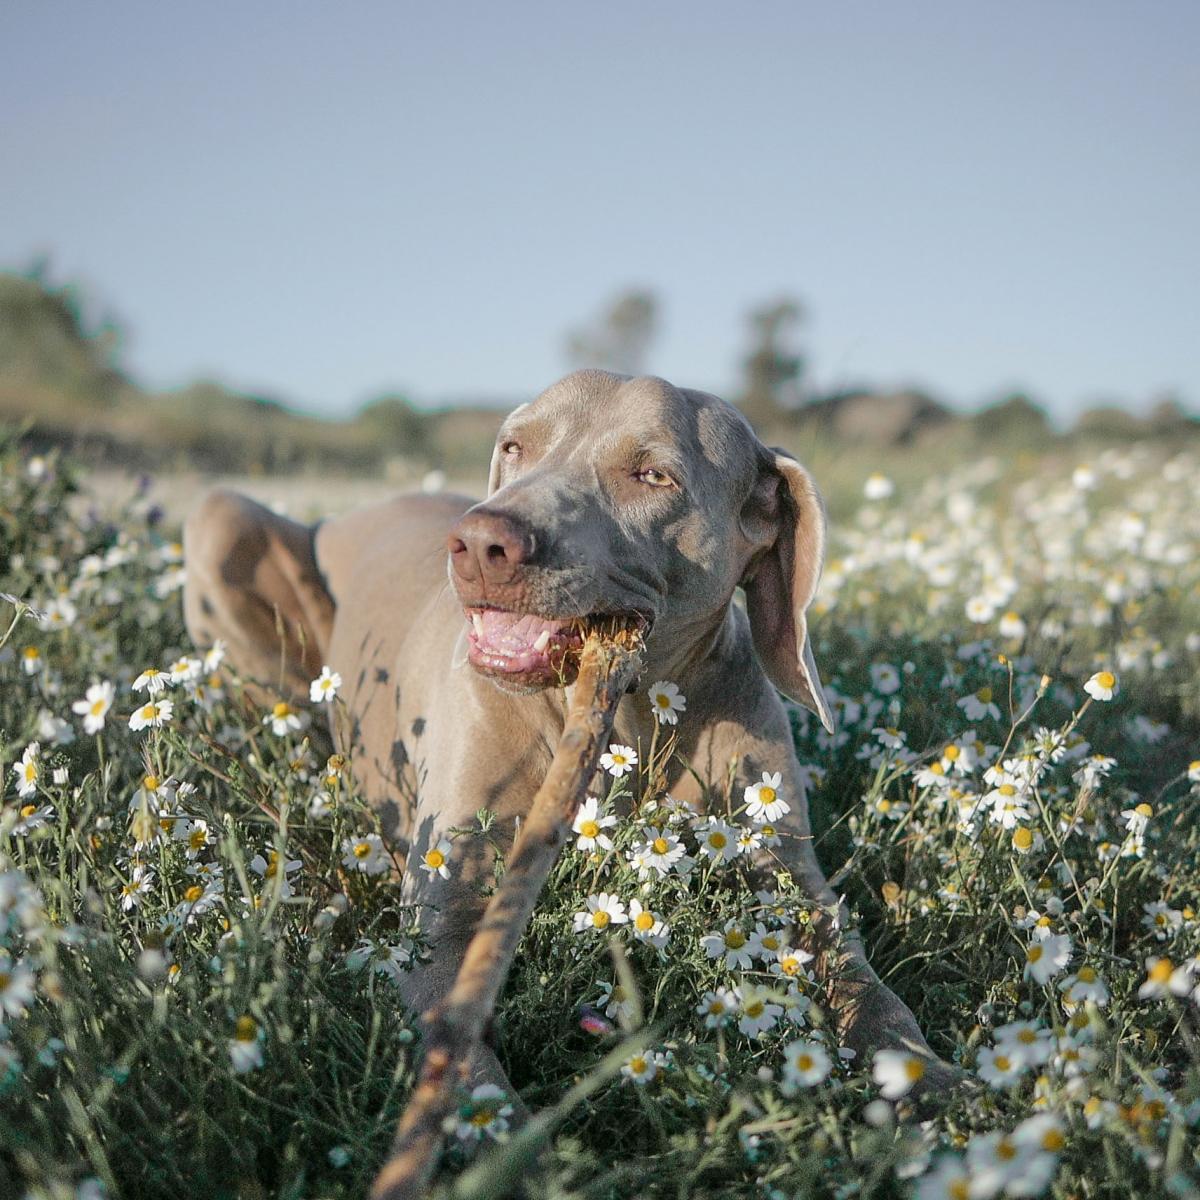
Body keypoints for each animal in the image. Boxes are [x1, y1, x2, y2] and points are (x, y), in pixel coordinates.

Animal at [184, 372, 955, 1099]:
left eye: (653, 475)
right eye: (514, 447)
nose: (481, 543)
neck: (633, 721)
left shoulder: (795, 880)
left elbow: (872, 992)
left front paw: (931, 1082)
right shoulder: (440, 926)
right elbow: (467, 1074)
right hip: (222, 519)